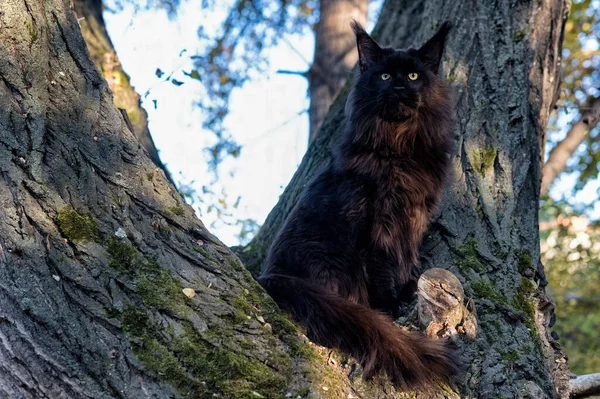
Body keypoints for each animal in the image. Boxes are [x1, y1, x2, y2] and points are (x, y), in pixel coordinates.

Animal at [255, 21, 458, 390]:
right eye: (384, 76)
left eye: (413, 75)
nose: (398, 86)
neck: (399, 148)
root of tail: (269, 278)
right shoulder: (376, 223)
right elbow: (382, 268)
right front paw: (390, 306)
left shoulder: (413, 217)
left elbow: (404, 259)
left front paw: (406, 287)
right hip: (332, 258)